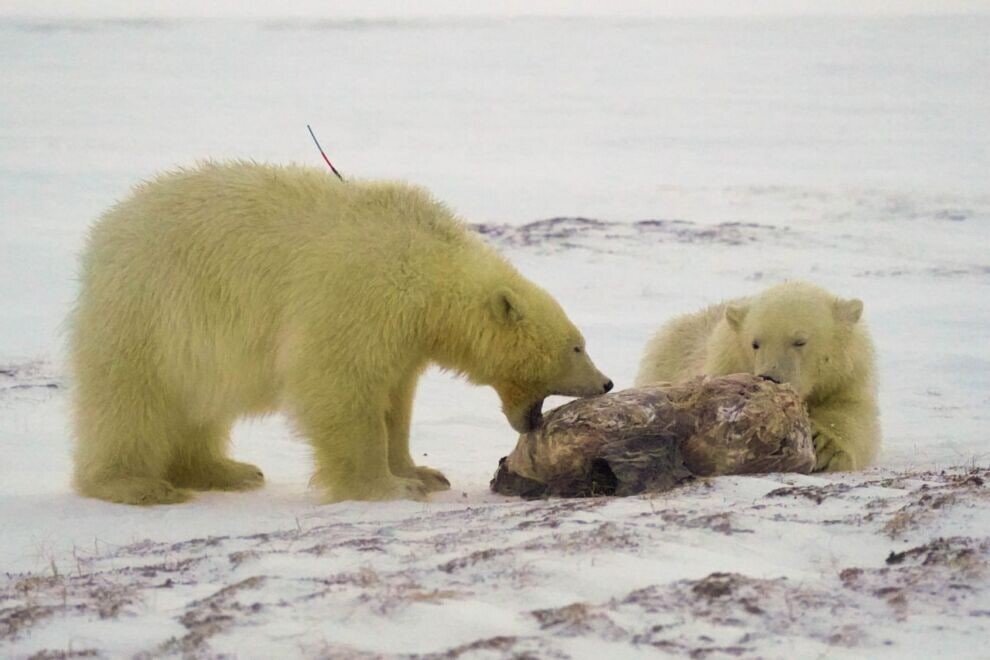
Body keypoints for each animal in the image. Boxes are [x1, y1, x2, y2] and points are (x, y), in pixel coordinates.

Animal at [70, 162, 612, 502]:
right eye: (577, 346)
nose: (606, 383)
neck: (426, 266)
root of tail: (105, 232)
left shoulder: (402, 335)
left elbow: (396, 400)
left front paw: (421, 472)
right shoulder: (358, 298)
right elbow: (340, 386)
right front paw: (387, 488)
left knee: (200, 409)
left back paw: (227, 471)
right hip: (151, 311)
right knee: (132, 403)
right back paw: (138, 485)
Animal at [640, 282, 880, 472]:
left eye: (800, 341)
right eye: (755, 343)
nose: (771, 377)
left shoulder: (846, 377)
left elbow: (853, 413)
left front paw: (825, 446)